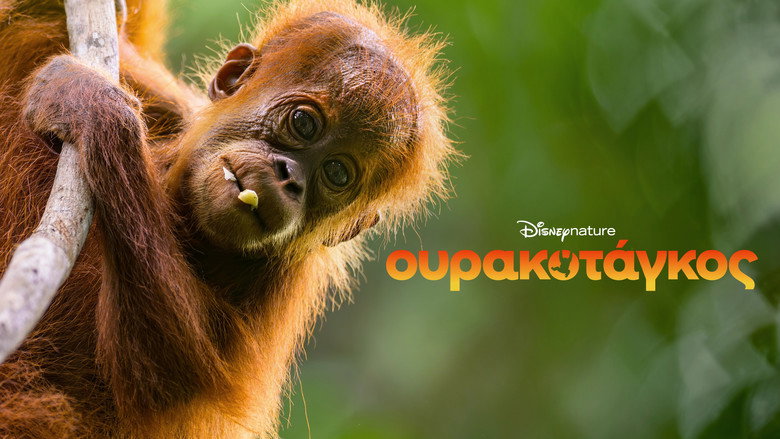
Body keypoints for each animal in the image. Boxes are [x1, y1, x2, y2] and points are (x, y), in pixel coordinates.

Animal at [0, 0, 455, 437]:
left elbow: (164, 374)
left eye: (337, 173)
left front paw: (92, 108)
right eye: (303, 122)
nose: (290, 178)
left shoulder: (277, 288)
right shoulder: (171, 109)